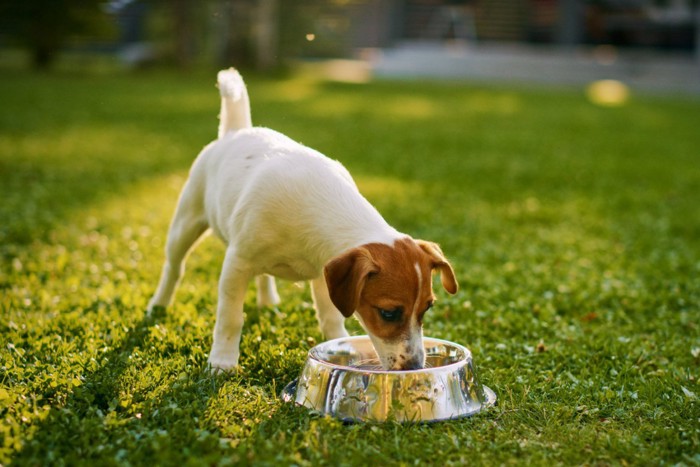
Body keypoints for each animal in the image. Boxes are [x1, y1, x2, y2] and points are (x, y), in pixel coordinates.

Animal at [146, 67, 460, 372]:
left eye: (427, 308)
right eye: (389, 313)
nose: (415, 366)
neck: (321, 205)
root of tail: (236, 130)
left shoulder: (324, 275)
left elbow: (331, 317)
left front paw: (340, 346)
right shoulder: (237, 264)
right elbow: (231, 318)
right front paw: (222, 362)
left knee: (262, 276)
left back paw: (268, 302)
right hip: (186, 223)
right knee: (174, 267)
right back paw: (158, 305)